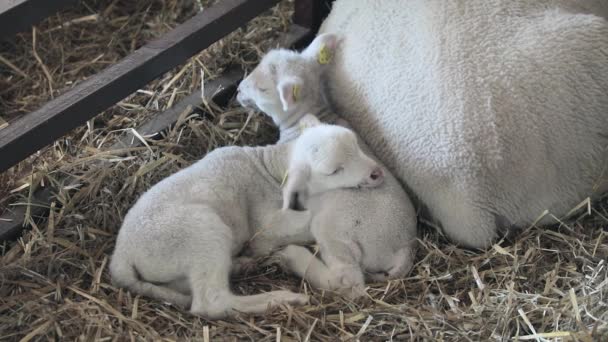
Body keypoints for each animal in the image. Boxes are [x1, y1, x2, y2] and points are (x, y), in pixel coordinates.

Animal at [108, 115, 384, 318]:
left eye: (356, 144)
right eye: (334, 171)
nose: (377, 173)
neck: (270, 167)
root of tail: (121, 256)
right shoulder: (265, 227)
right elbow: (300, 223)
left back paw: (242, 265)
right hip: (200, 231)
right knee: (211, 302)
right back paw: (282, 298)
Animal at [236, 33, 418, 296]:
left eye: (263, 88)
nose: (238, 90)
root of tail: (404, 247)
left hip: (336, 229)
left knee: (348, 280)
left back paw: (293, 257)